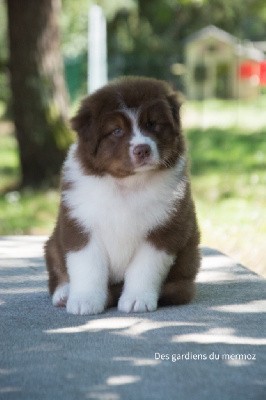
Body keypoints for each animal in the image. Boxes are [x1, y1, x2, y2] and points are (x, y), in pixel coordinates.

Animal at [44, 77, 201, 316]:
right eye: (116, 131)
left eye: (152, 124)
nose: (142, 149)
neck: (127, 184)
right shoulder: (80, 224)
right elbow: (87, 267)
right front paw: (84, 301)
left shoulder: (164, 230)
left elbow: (144, 268)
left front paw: (137, 300)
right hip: (53, 244)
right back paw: (64, 293)